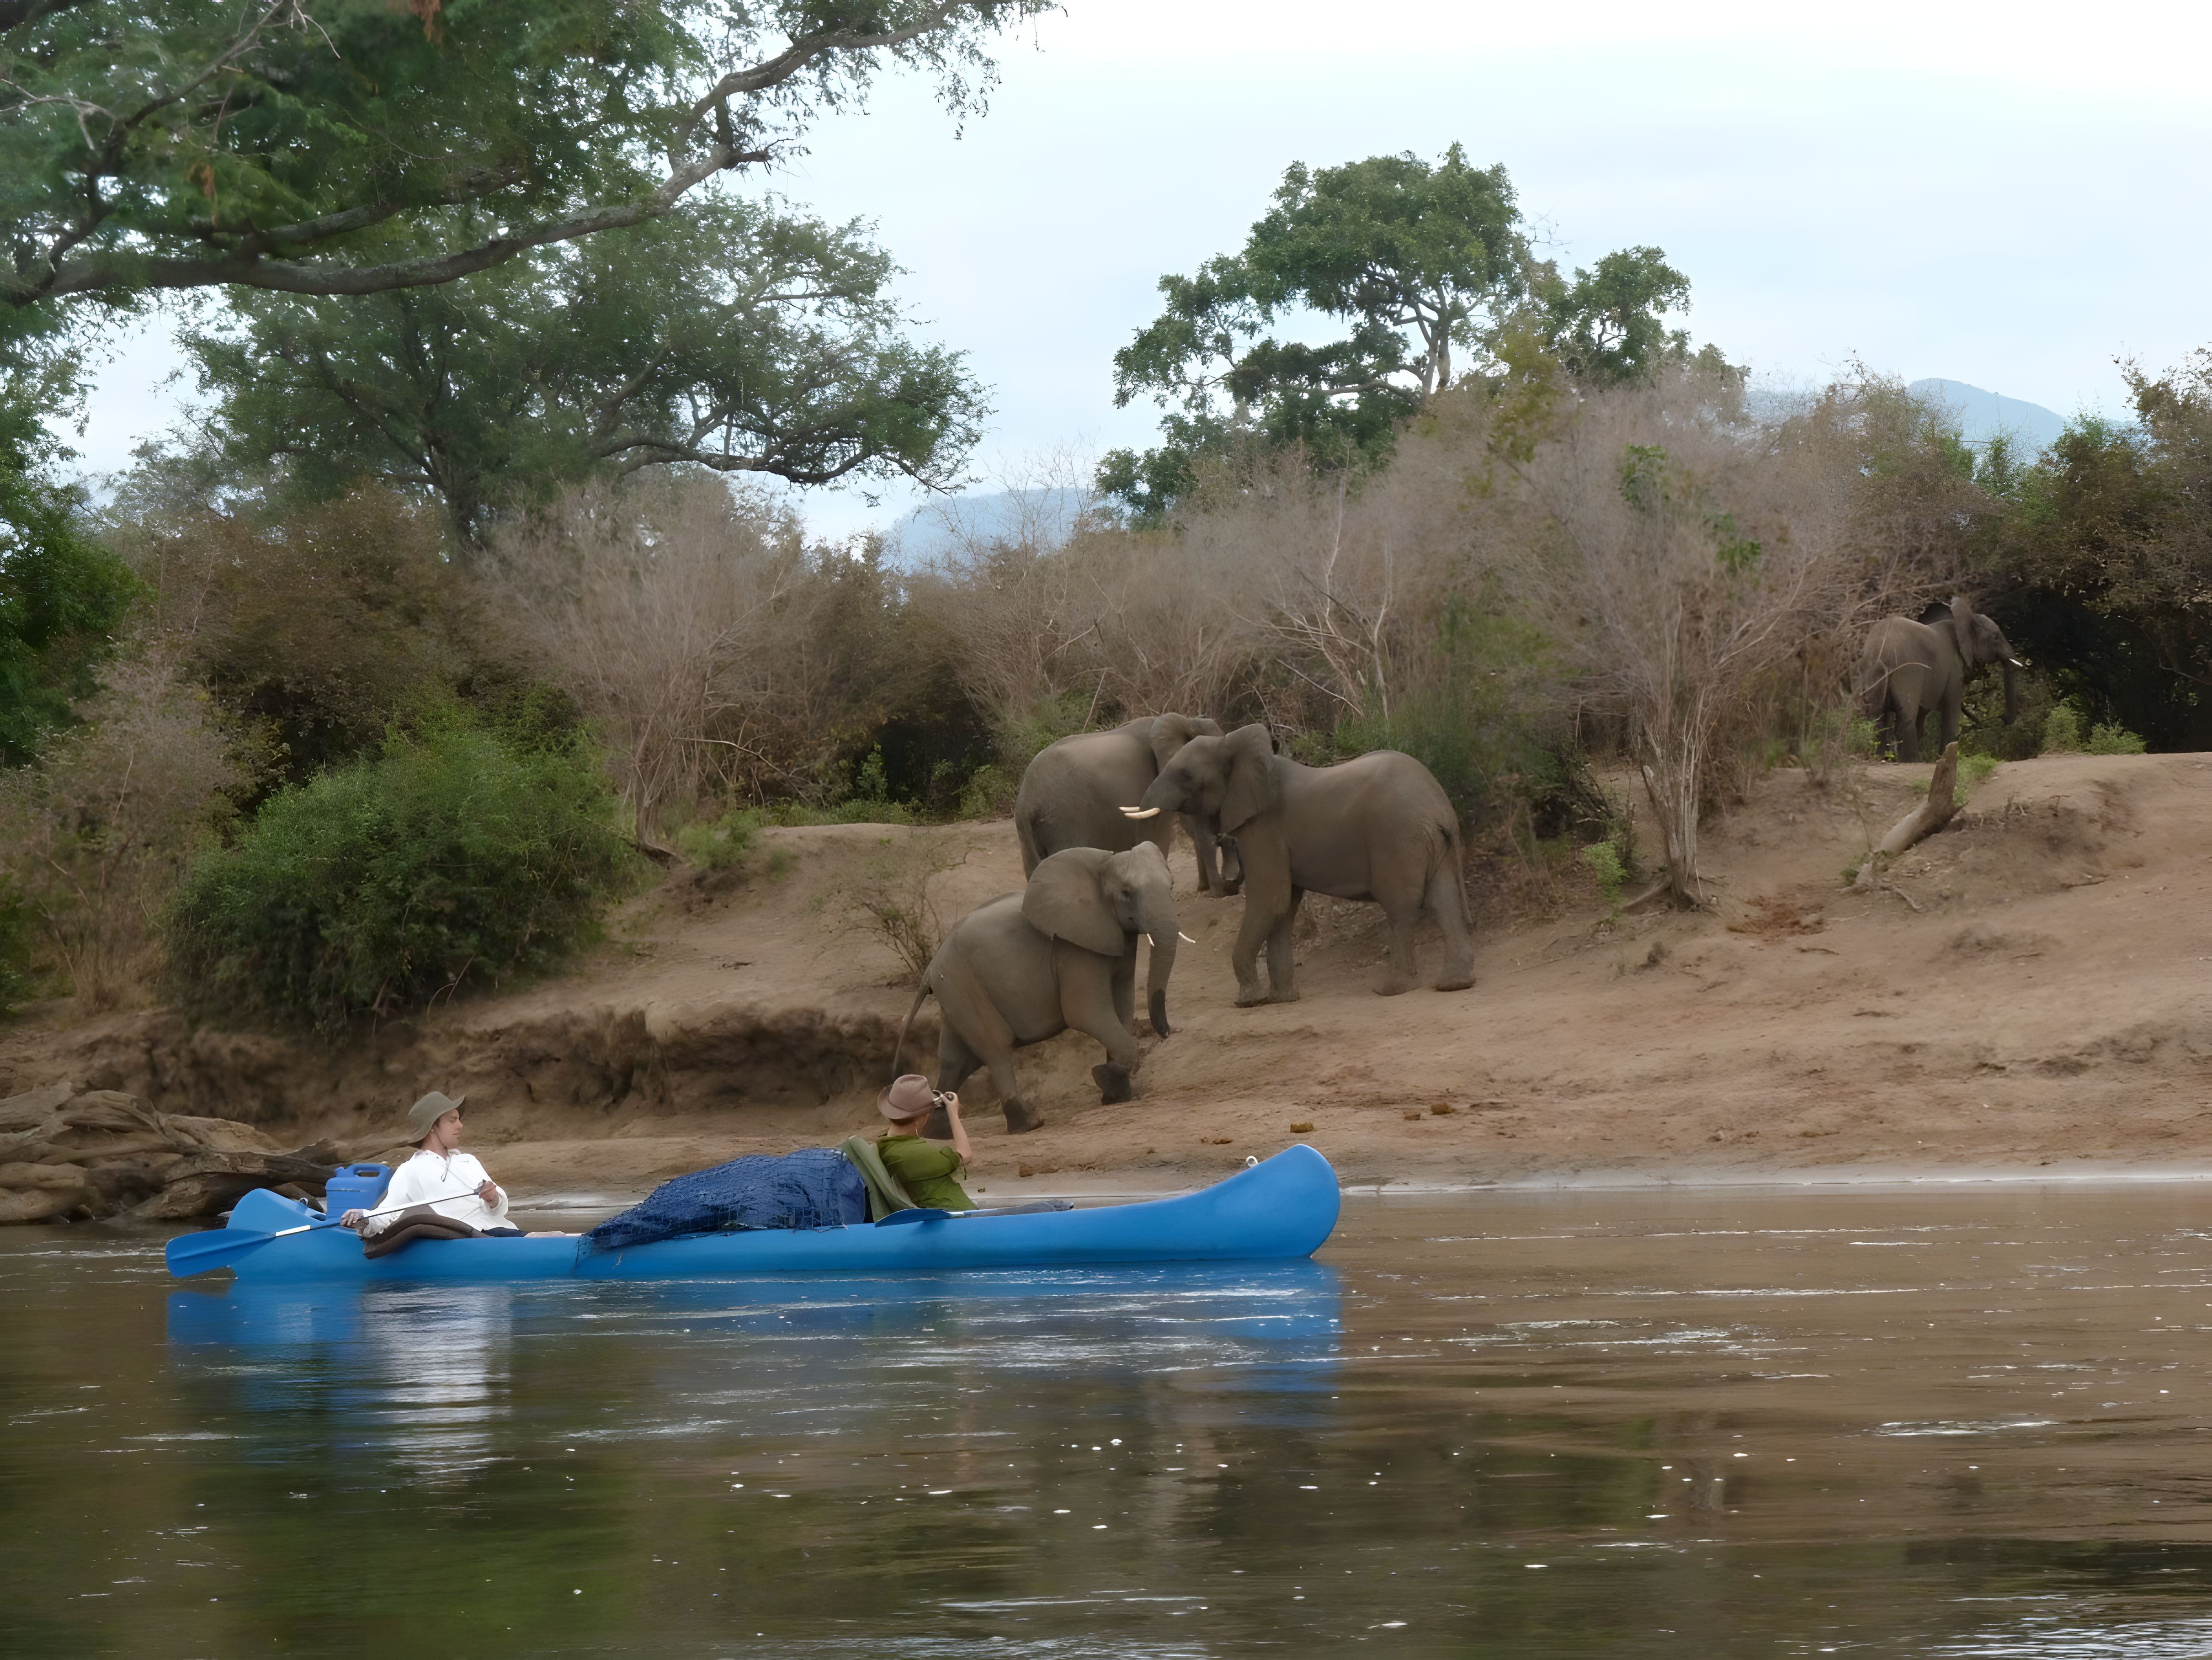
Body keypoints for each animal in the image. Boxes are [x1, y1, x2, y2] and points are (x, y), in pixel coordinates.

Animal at [892, 843, 1184, 1135]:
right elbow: (1086, 1013)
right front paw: (1105, 1078)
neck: (1103, 865)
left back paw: (937, 1134)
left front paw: (1114, 1095)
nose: (1167, 1033)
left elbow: (1123, 1007)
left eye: (1172, 886)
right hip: (961, 983)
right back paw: (1029, 1124)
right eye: (1126, 893)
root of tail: (930, 970)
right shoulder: (1072, 948)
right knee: (996, 1049)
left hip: (954, 989)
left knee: (957, 1060)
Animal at [1129, 724, 1475, 1004]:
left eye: (1185, 776)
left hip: (1396, 839)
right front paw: (1282, 1000)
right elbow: (1285, 907)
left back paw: (1390, 990)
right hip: (1432, 842)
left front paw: (1249, 1002)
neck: (1231, 743)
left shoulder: (1263, 828)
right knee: (1444, 902)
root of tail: (1440, 808)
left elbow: (1271, 900)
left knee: (1402, 909)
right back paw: (1455, 985)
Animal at [1858, 596, 2023, 762]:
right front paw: (1944, 756)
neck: (1960, 621)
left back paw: (1879, 757)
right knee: (1906, 716)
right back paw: (1912, 761)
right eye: (1996, 637)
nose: (2004, 721)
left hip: (1873, 669)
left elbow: (1922, 714)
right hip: (1908, 670)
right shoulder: (1954, 667)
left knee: (1876, 716)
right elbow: (1952, 706)